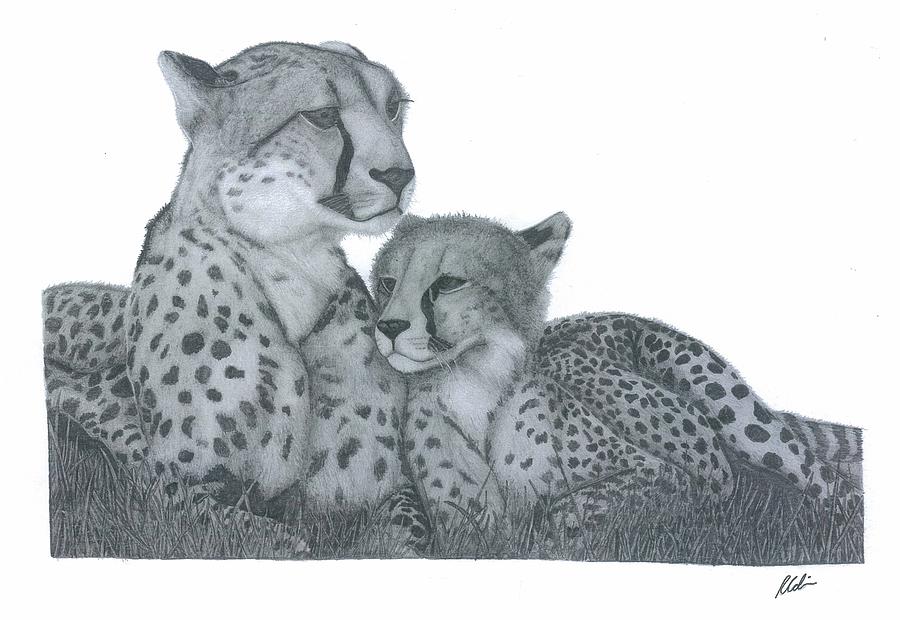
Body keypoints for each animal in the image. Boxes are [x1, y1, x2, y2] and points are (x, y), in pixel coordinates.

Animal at [42, 41, 427, 539]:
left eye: (393, 107)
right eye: (322, 116)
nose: (400, 175)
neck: (296, 265)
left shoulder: (384, 487)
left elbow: (408, 529)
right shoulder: (175, 491)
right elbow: (276, 535)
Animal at [369, 211, 863, 534]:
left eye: (449, 283)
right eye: (388, 284)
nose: (389, 327)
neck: (476, 384)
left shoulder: (686, 479)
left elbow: (568, 511)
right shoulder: (461, 519)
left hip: (736, 420)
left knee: (829, 484)